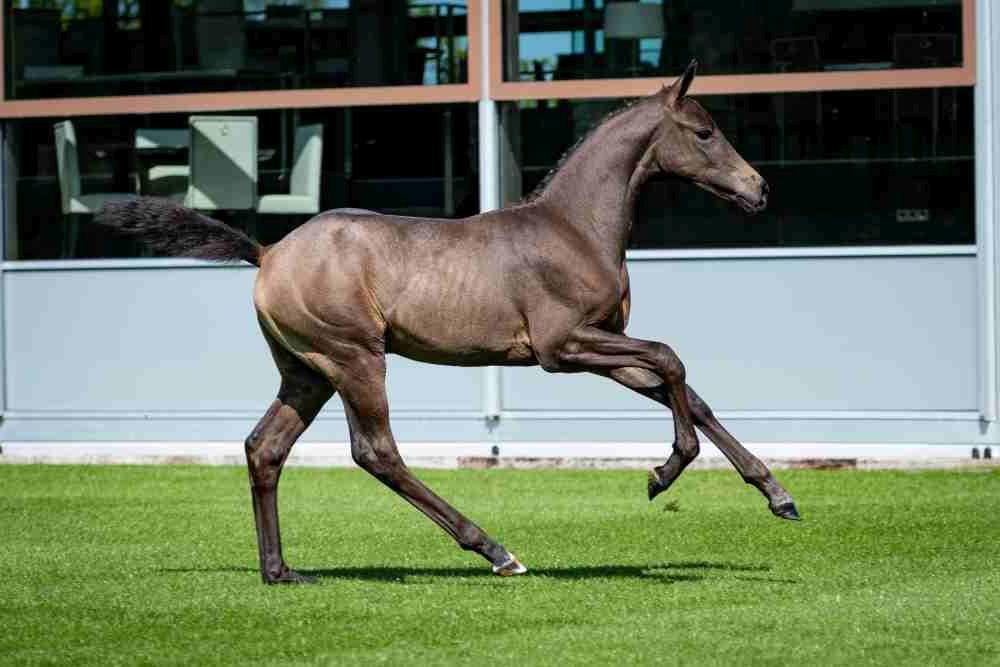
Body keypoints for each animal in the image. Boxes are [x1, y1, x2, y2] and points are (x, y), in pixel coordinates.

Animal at [99, 60, 798, 585]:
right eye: (704, 131)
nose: (760, 189)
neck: (573, 227)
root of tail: (268, 252)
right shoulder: (562, 347)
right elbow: (672, 358)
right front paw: (664, 472)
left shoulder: (606, 345)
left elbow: (687, 390)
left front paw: (777, 494)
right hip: (354, 358)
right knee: (375, 452)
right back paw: (495, 550)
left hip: (306, 371)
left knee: (264, 447)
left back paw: (281, 571)